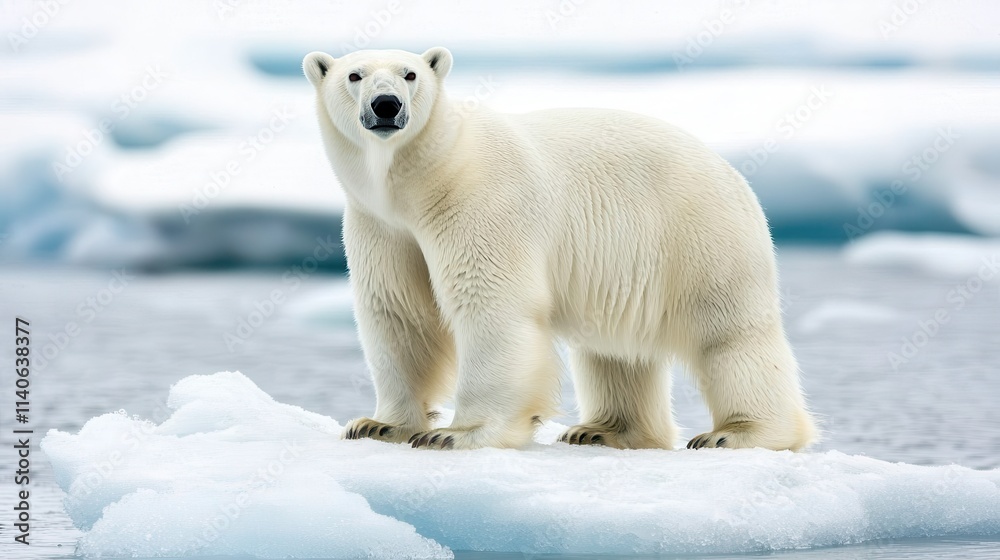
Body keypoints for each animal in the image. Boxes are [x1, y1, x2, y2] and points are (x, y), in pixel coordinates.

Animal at [303, 47, 817, 452]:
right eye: (354, 75)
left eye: (410, 74)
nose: (386, 104)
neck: (426, 179)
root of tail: (733, 172)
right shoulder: (382, 225)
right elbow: (399, 312)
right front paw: (378, 424)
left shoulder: (479, 203)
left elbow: (491, 304)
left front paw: (454, 433)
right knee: (615, 350)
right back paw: (602, 430)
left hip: (699, 235)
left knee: (728, 334)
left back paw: (736, 432)